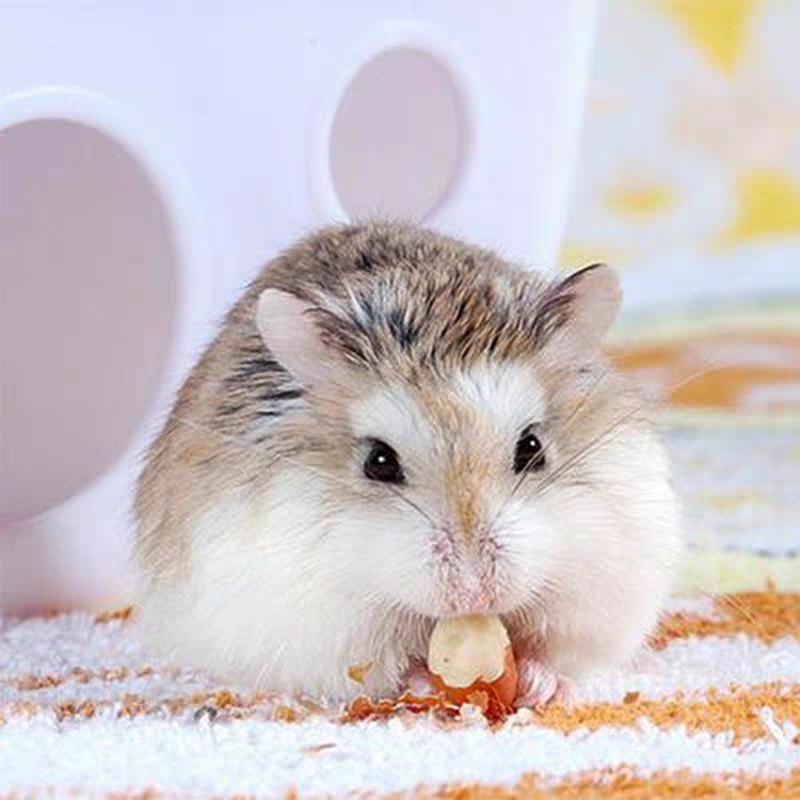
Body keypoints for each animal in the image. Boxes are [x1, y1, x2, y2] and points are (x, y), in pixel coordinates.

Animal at [134, 221, 683, 706]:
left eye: (531, 448)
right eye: (379, 462)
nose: (474, 594)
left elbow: (559, 651)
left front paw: (541, 683)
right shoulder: (318, 625)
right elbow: (385, 667)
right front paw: (422, 680)